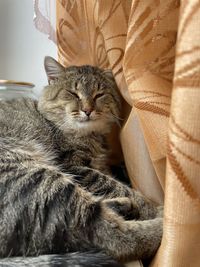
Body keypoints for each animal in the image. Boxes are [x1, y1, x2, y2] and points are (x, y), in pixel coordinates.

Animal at [0, 57, 162, 267]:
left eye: (99, 94)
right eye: (73, 93)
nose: (87, 110)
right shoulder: (76, 167)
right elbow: (118, 186)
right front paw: (150, 207)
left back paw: (122, 206)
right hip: (38, 178)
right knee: (112, 236)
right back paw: (165, 222)